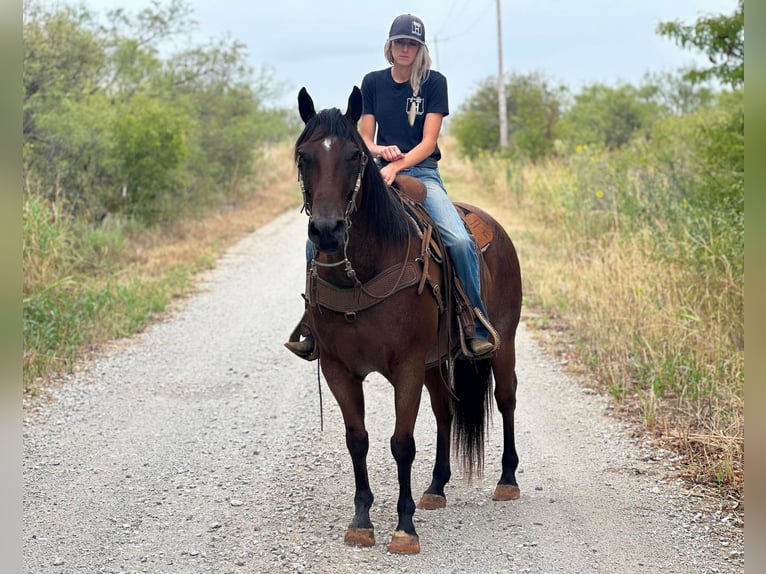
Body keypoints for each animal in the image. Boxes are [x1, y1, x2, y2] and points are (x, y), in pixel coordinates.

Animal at [292, 86, 520, 560]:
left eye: (354, 156)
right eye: (304, 156)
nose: (326, 230)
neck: (360, 271)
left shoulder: (407, 366)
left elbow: (402, 443)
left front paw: (404, 527)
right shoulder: (339, 369)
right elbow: (357, 439)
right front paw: (361, 521)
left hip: (503, 341)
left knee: (506, 398)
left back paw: (508, 480)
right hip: (436, 362)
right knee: (445, 411)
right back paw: (436, 487)